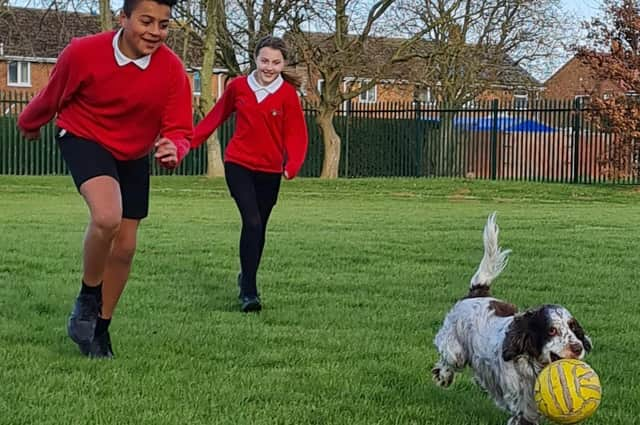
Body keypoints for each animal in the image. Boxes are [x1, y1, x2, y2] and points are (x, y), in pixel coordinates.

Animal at [432, 214, 592, 424]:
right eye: (551, 330)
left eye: (573, 328)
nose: (578, 348)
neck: (534, 369)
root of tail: (477, 293)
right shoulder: (523, 408)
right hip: (455, 350)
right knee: (448, 360)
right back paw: (443, 376)